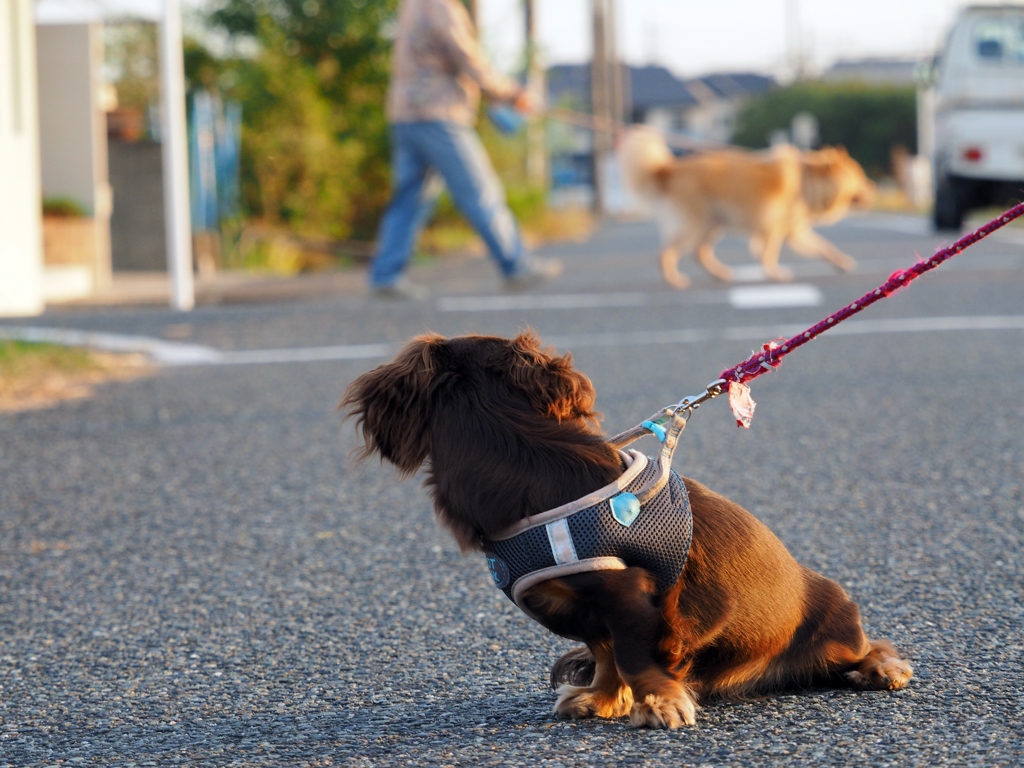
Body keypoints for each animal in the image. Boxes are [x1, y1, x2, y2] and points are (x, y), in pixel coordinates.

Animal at [344, 329, 913, 729]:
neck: (520, 451)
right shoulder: (590, 611)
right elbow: (606, 655)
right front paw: (600, 698)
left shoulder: (628, 593)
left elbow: (635, 657)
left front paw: (660, 705)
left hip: (835, 629)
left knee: (868, 646)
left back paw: (882, 668)